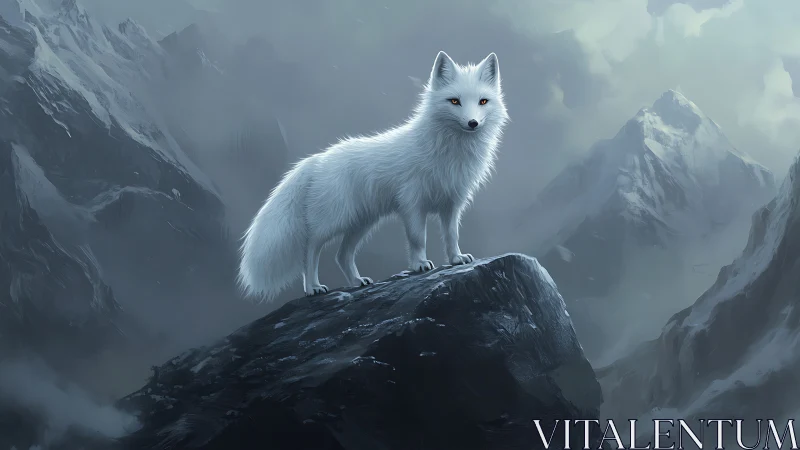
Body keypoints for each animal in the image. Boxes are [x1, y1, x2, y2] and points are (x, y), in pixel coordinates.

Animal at [238, 51, 509, 301]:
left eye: (483, 101)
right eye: (454, 101)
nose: (473, 123)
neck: (450, 152)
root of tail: (316, 160)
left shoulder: (452, 202)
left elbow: (452, 235)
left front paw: (456, 258)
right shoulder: (412, 202)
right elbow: (417, 238)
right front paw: (419, 264)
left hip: (361, 222)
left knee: (342, 255)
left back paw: (357, 281)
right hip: (333, 220)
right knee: (310, 249)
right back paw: (313, 287)